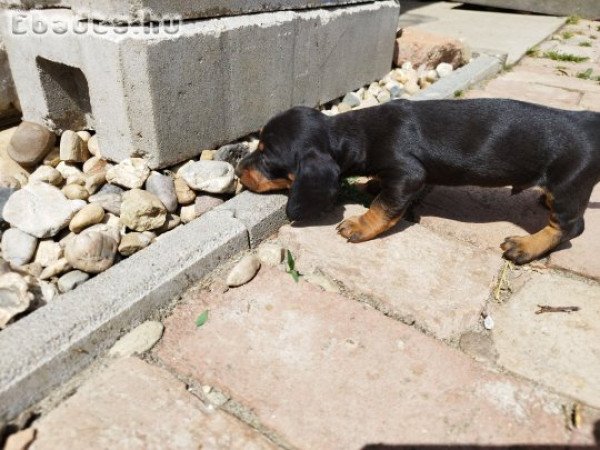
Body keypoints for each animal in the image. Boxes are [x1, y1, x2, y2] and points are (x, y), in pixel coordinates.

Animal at [236, 99, 600, 264]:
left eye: (267, 157)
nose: (238, 169)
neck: (358, 132)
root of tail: (590, 122)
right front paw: (371, 184)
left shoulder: (408, 174)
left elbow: (384, 207)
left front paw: (360, 225)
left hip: (569, 186)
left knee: (569, 227)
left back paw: (526, 246)